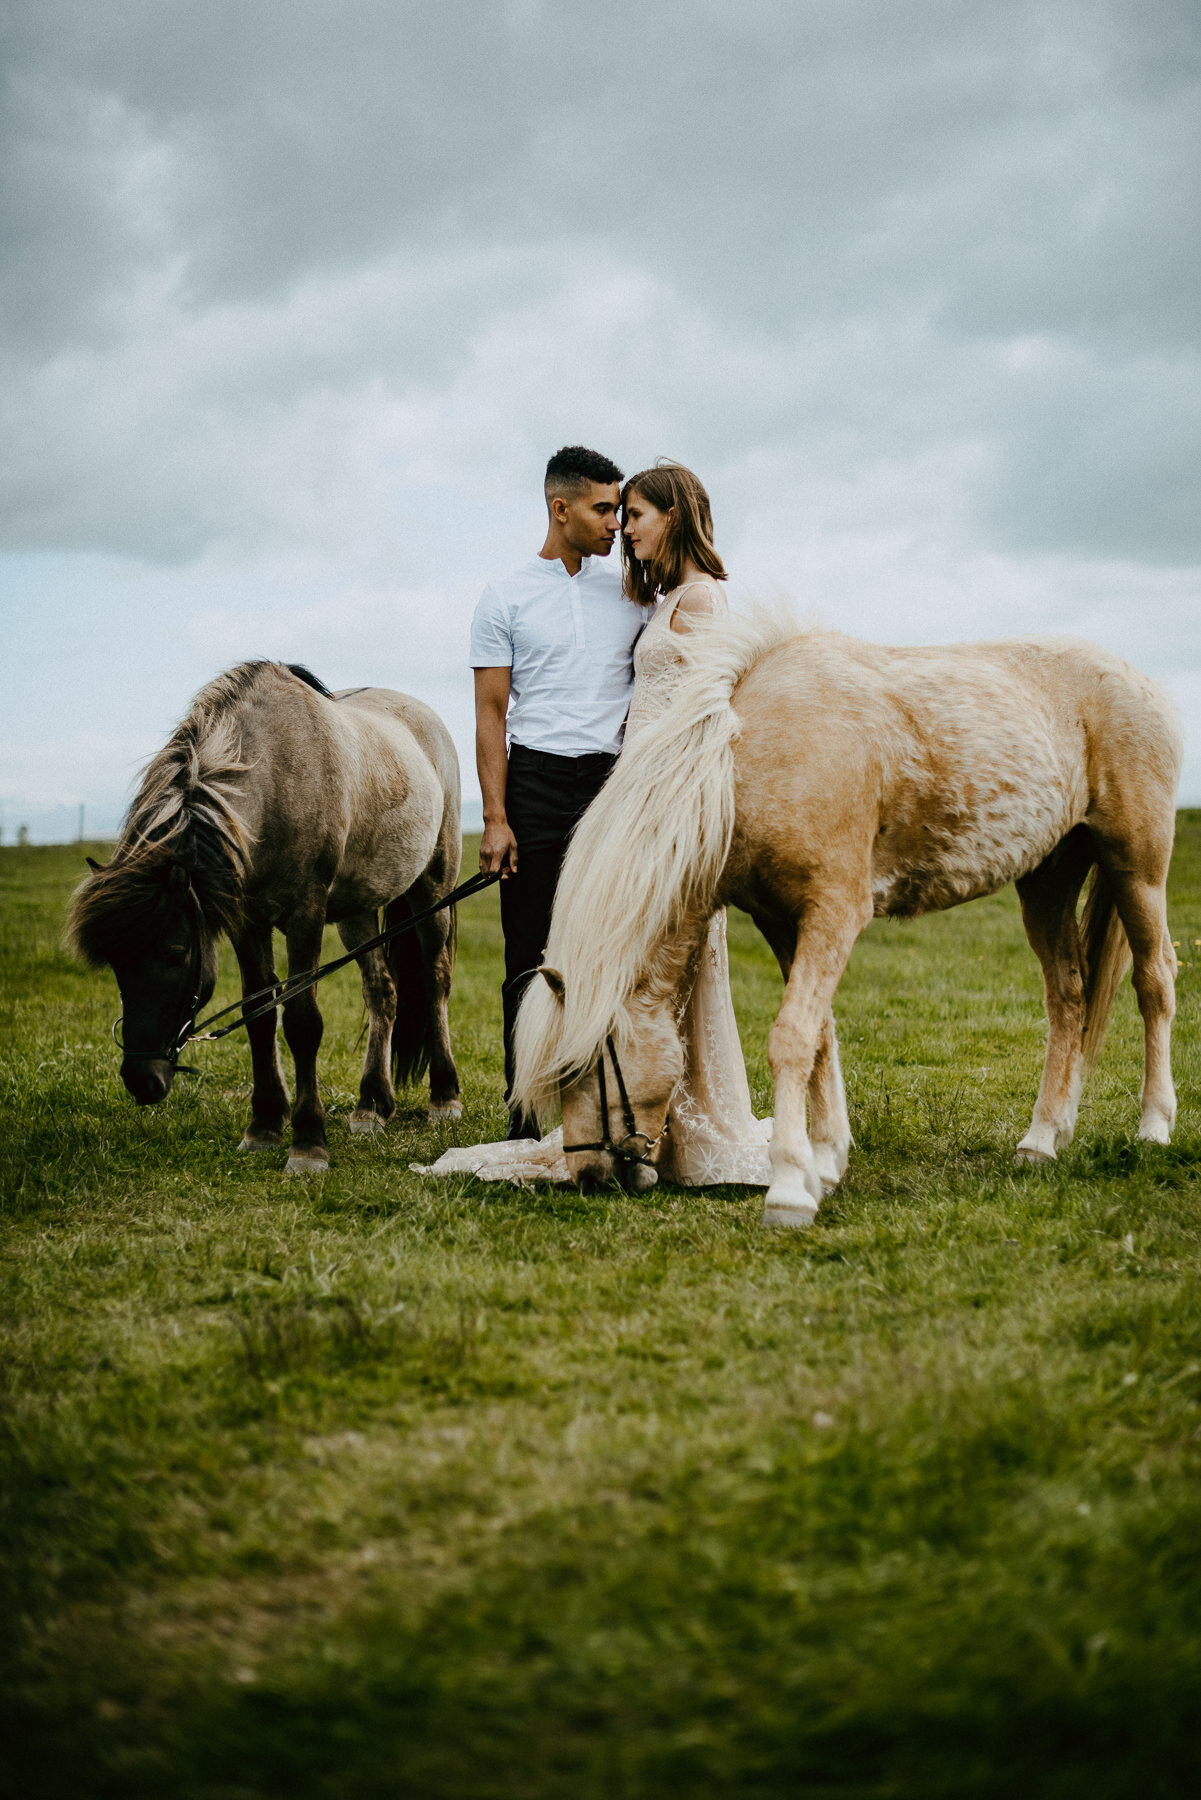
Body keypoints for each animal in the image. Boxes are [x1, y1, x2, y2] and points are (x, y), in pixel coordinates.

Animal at [69, 658, 464, 1166]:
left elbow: (301, 1021)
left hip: (432, 893)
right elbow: (259, 1016)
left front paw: (308, 1141)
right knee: (383, 992)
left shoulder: (305, 917)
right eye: (117, 961)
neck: (276, 777)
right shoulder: (246, 922)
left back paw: (444, 1096)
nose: (142, 1080)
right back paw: (371, 1104)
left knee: (435, 981)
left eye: (176, 952)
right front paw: (264, 1125)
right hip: (356, 913)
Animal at [514, 619, 1181, 1224]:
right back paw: (1043, 1139)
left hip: (1136, 868)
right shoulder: (785, 923)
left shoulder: (834, 914)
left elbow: (791, 1039)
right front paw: (826, 1161)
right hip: (1048, 881)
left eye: (583, 1070)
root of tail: (1141, 679)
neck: (745, 762)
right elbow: (820, 1037)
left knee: (1155, 981)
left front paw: (788, 1188)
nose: (589, 1177)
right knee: (1068, 998)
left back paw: (1153, 1126)